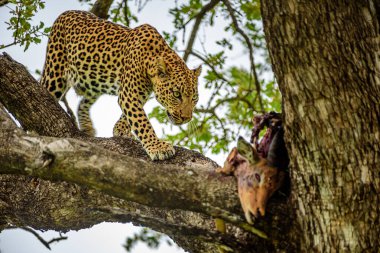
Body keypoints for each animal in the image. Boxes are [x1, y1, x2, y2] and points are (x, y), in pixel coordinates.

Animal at [40, 10, 202, 160]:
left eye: (194, 99)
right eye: (176, 94)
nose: (186, 118)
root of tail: (65, 12)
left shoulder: (137, 94)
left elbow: (131, 115)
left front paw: (120, 129)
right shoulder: (129, 95)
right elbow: (142, 122)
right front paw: (157, 147)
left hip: (92, 81)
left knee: (83, 102)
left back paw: (87, 126)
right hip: (54, 72)